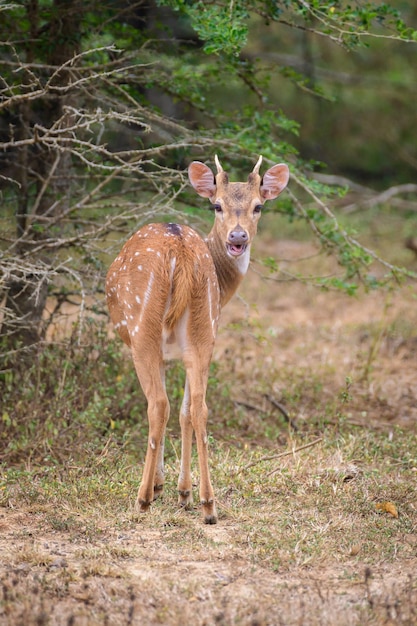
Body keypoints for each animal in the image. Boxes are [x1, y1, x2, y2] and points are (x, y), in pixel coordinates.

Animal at [106, 156, 290, 520]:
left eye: (259, 206)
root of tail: (180, 252)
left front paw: (163, 486)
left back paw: (142, 498)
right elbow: (186, 411)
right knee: (199, 408)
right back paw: (207, 503)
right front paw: (182, 490)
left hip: (142, 329)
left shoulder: (162, 351)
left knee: (157, 405)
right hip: (205, 331)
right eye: (217, 205)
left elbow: (171, 409)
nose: (238, 236)